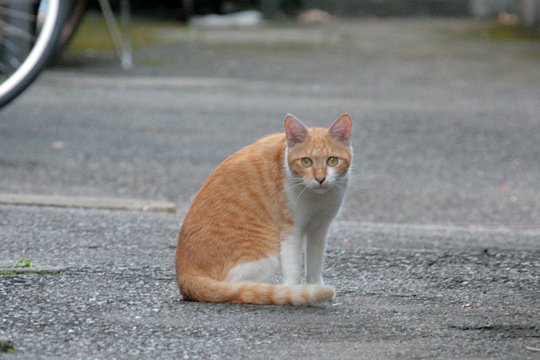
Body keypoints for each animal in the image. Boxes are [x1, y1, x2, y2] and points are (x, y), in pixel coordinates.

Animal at [177, 114, 352, 306]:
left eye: (332, 160)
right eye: (306, 161)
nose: (320, 178)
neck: (316, 197)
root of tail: (185, 275)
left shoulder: (320, 228)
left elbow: (315, 260)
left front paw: (314, 285)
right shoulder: (290, 229)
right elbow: (292, 266)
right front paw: (294, 290)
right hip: (267, 254)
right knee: (236, 288)